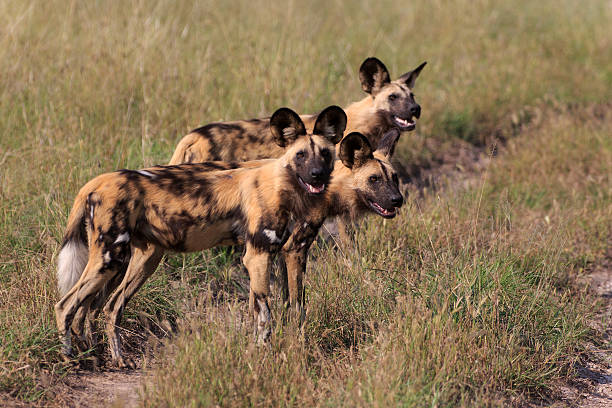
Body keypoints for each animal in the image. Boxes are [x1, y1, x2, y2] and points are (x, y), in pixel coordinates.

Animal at [55, 107, 346, 368]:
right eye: (300, 155)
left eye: (325, 154)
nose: (317, 175)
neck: (282, 184)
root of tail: (96, 182)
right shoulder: (258, 256)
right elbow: (265, 316)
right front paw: (264, 356)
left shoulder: (277, 254)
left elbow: (283, 308)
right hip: (110, 259)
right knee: (65, 305)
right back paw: (70, 359)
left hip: (138, 261)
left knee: (108, 307)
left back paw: (107, 359)